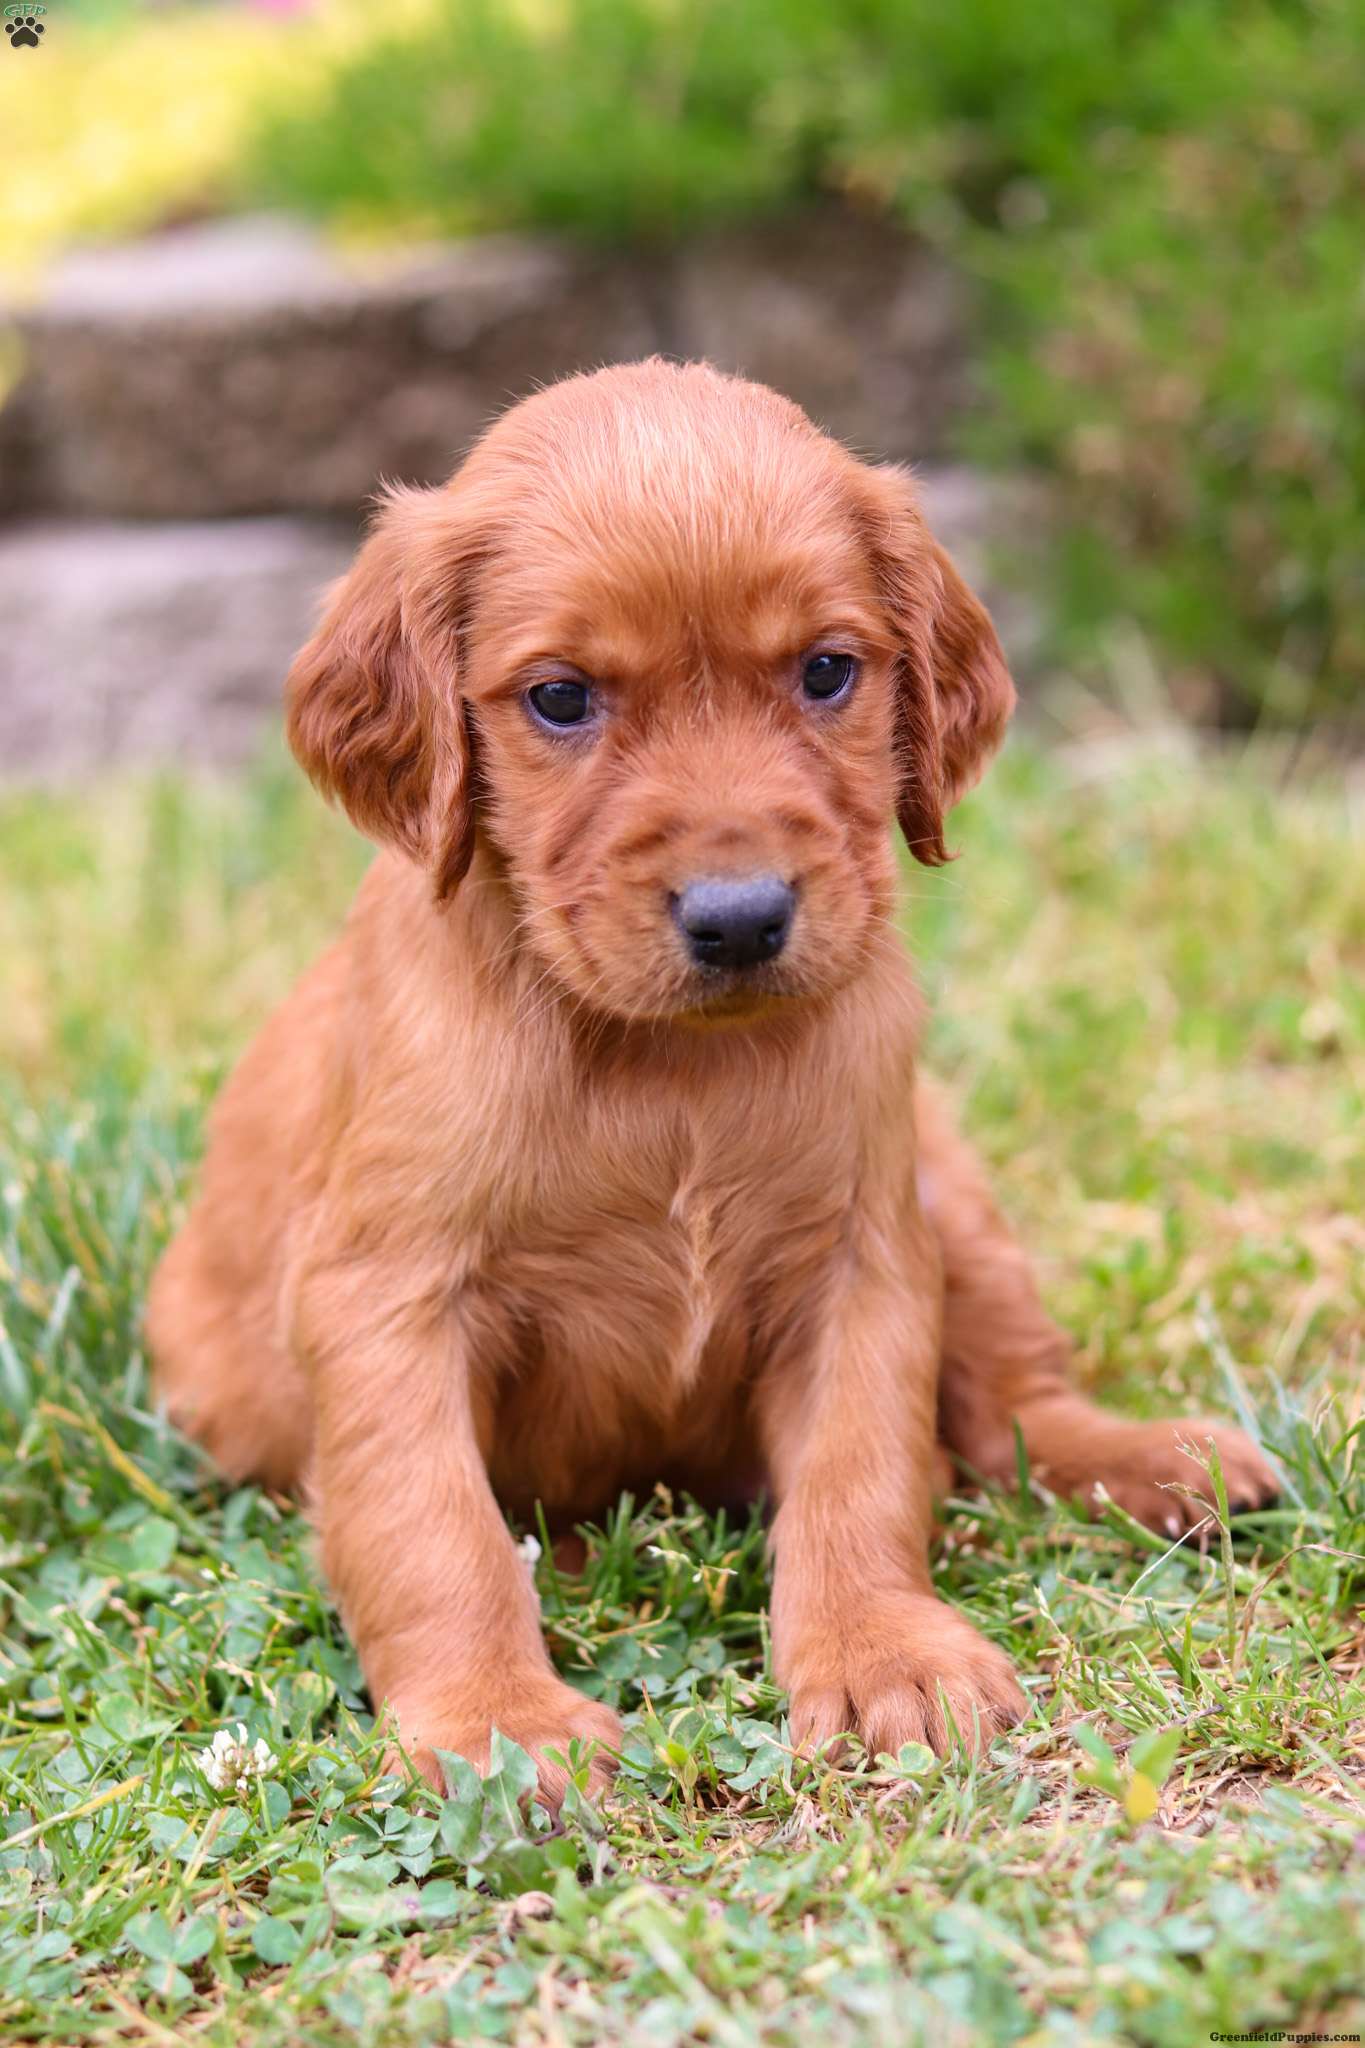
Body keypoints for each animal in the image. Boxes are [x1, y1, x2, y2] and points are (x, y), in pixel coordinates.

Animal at [149, 360, 1285, 1802]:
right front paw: (495, 1721)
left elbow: (864, 1465)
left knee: (1013, 1408)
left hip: (947, 1183)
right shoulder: (385, 1292)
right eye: (561, 698)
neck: (667, 1066)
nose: (740, 917)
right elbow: (429, 1520)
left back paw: (1152, 1461)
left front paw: (882, 1653)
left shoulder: (863, 1253)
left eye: (826, 671)